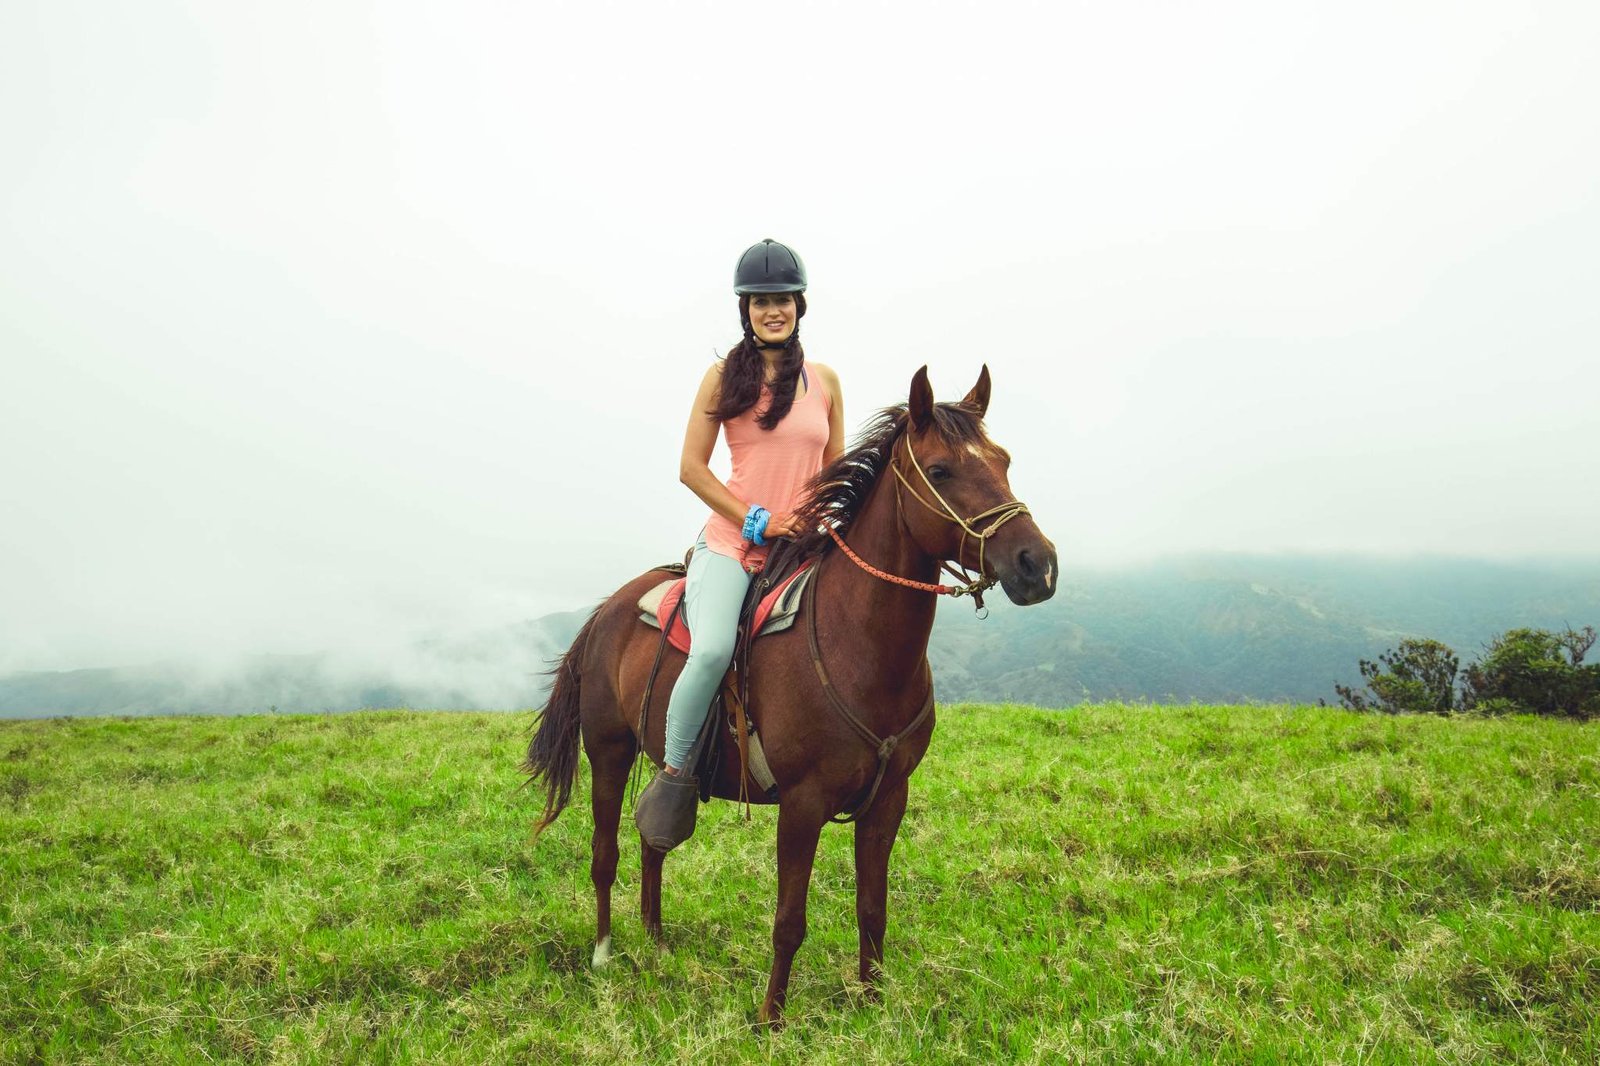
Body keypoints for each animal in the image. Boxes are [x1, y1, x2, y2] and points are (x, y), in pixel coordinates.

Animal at [521, 364, 1062, 1024]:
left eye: (1003, 460)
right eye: (940, 471)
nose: (1037, 565)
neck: (858, 644)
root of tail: (606, 611)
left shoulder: (889, 800)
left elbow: (873, 908)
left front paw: (872, 1001)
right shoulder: (803, 804)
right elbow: (789, 921)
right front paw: (770, 1020)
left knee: (655, 836)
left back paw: (656, 941)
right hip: (608, 750)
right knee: (605, 853)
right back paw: (603, 953)